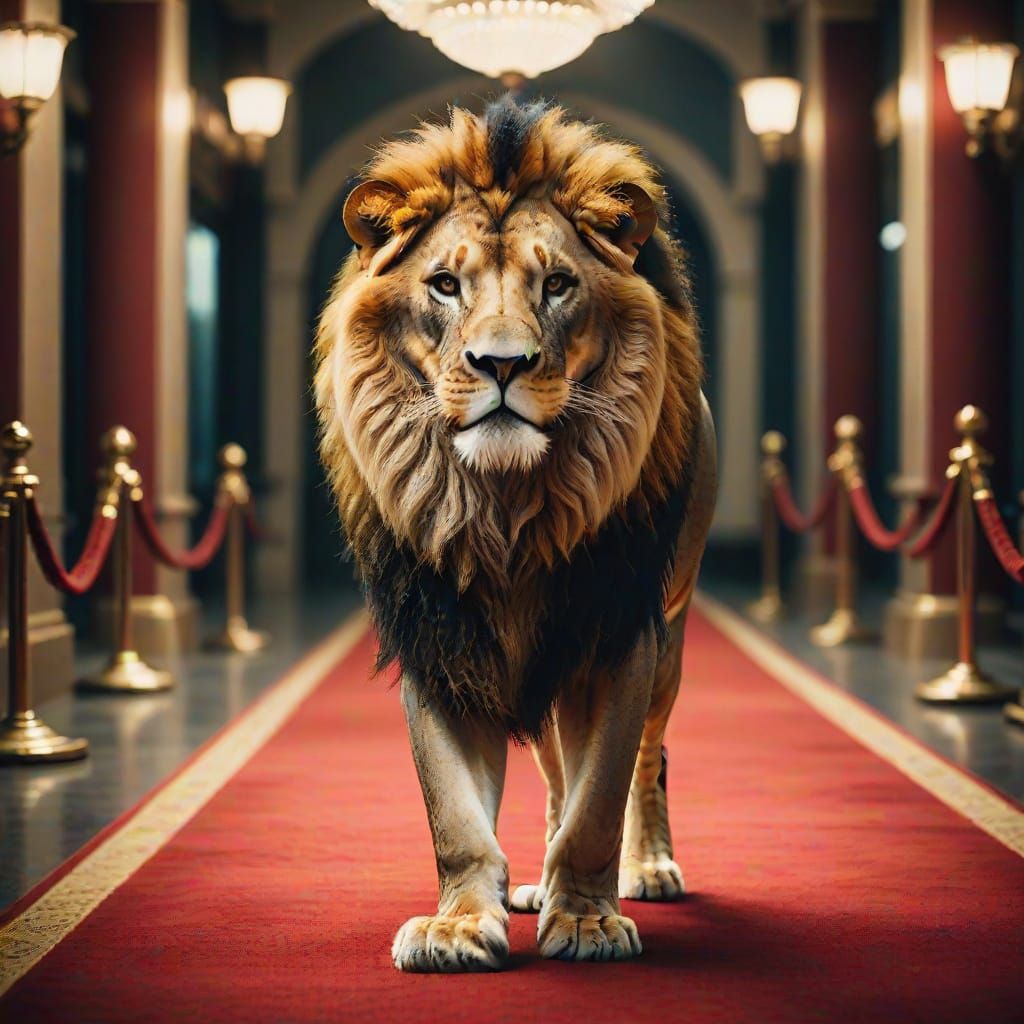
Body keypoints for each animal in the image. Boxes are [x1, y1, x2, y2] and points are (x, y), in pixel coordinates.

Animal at [314, 96, 716, 972]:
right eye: (443, 284)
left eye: (558, 284)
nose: (501, 364)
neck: (503, 513)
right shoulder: (442, 639)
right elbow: (456, 815)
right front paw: (461, 925)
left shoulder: (617, 633)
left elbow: (600, 803)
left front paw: (591, 921)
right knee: (560, 774)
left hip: (668, 635)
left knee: (647, 758)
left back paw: (649, 867)